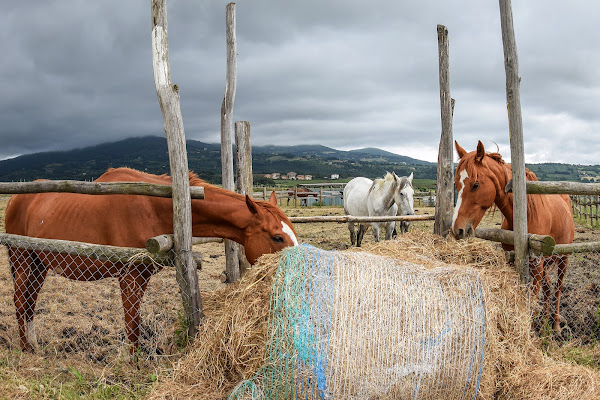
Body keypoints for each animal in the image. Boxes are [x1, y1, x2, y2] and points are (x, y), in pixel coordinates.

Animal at [2, 167, 298, 354]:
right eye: (277, 237)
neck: (154, 206)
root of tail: (16, 198)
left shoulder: (141, 277)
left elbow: (135, 321)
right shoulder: (130, 276)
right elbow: (131, 322)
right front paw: (131, 364)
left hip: (39, 263)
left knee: (30, 302)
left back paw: (34, 344)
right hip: (23, 260)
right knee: (20, 301)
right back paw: (26, 348)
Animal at [452, 141, 576, 332]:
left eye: (476, 184)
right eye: (456, 184)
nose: (457, 229)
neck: (525, 213)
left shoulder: (536, 264)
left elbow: (531, 302)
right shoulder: (513, 261)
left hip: (564, 258)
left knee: (558, 288)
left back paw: (555, 323)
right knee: (548, 289)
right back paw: (545, 321)